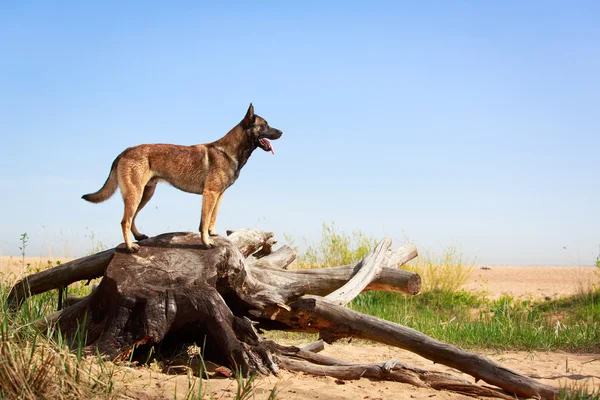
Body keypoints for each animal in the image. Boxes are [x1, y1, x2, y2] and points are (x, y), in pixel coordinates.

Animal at [81, 104, 284, 253]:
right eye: (264, 125)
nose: (282, 132)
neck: (230, 151)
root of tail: (125, 151)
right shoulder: (209, 194)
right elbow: (203, 221)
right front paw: (206, 242)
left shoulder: (219, 195)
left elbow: (212, 217)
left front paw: (212, 233)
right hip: (135, 194)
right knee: (125, 221)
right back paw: (131, 247)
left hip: (145, 194)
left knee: (132, 219)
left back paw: (138, 237)